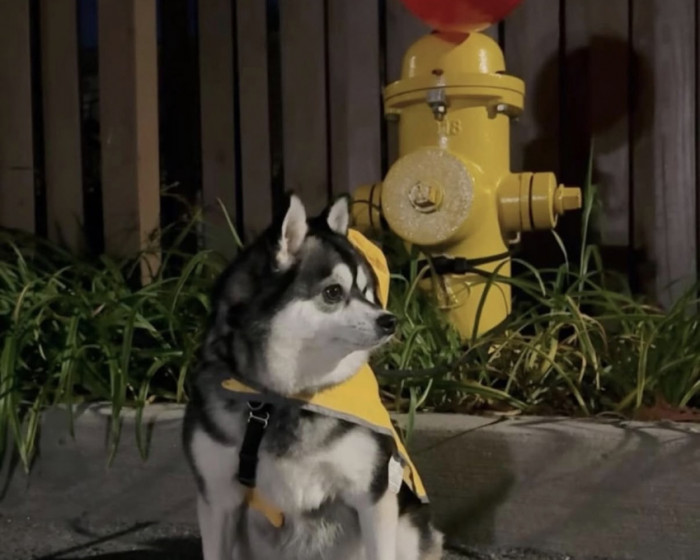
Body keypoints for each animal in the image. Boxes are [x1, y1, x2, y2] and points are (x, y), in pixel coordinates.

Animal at [183, 194, 443, 560]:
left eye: (367, 292)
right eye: (333, 292)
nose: (390, 321)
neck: (279, 397)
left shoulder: (373, 495)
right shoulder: (218, 500)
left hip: (407, 531)